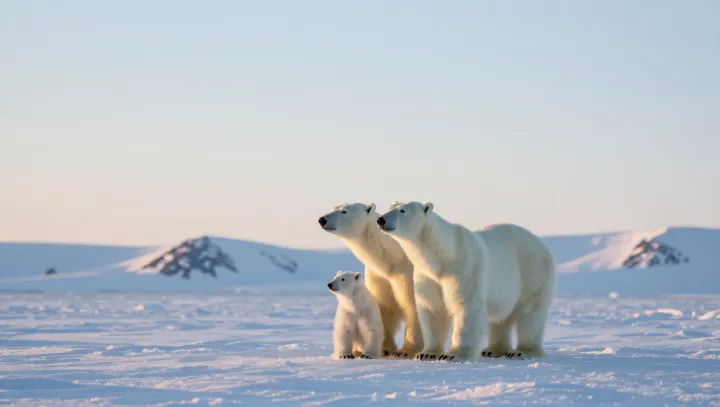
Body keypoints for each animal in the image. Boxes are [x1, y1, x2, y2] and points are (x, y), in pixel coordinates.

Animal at [318, 203, 423, 358]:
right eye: (334, 208)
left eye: (344, 211)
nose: (322, 219)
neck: (393, 256)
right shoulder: (380, 276)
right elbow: (384, 305)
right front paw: (384, 348)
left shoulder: (408, 272)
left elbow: (413, 304)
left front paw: (405, 351)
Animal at [376, 201, 556, 363]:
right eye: (390, 207)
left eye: (402, 210)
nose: (380, 219)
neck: (444, 256)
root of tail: (541, 243)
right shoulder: (427, 276)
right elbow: (432, 308)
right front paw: (427, 354)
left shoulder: (465, 268)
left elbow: (466, 306)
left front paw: (453, 355)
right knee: (501, 318)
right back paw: (492, 350)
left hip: (532, 272)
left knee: (530, 312)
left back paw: (522, 351)